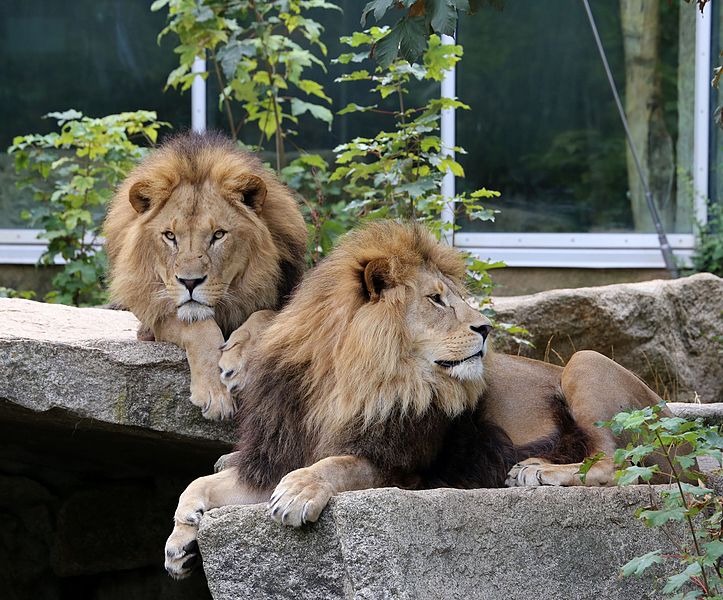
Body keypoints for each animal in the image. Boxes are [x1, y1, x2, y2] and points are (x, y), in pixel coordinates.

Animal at [103, 133, 306, 420]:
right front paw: (215, 392)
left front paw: (239, 363)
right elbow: (198, 328)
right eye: (170, 236)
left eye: (218, 235)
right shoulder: (153, 323)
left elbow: (263, 317)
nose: (189, 282)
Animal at [161, 220, 676, 576]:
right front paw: (181, 536)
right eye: (436, 299)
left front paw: (300, 491)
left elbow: (338, 464)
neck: (345, 381)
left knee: (620, 467)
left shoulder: (401, 467)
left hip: (585, 363)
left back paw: (540, 471)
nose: (486, 327)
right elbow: (201, 483)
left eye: (455, 297)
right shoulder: (278, 454)